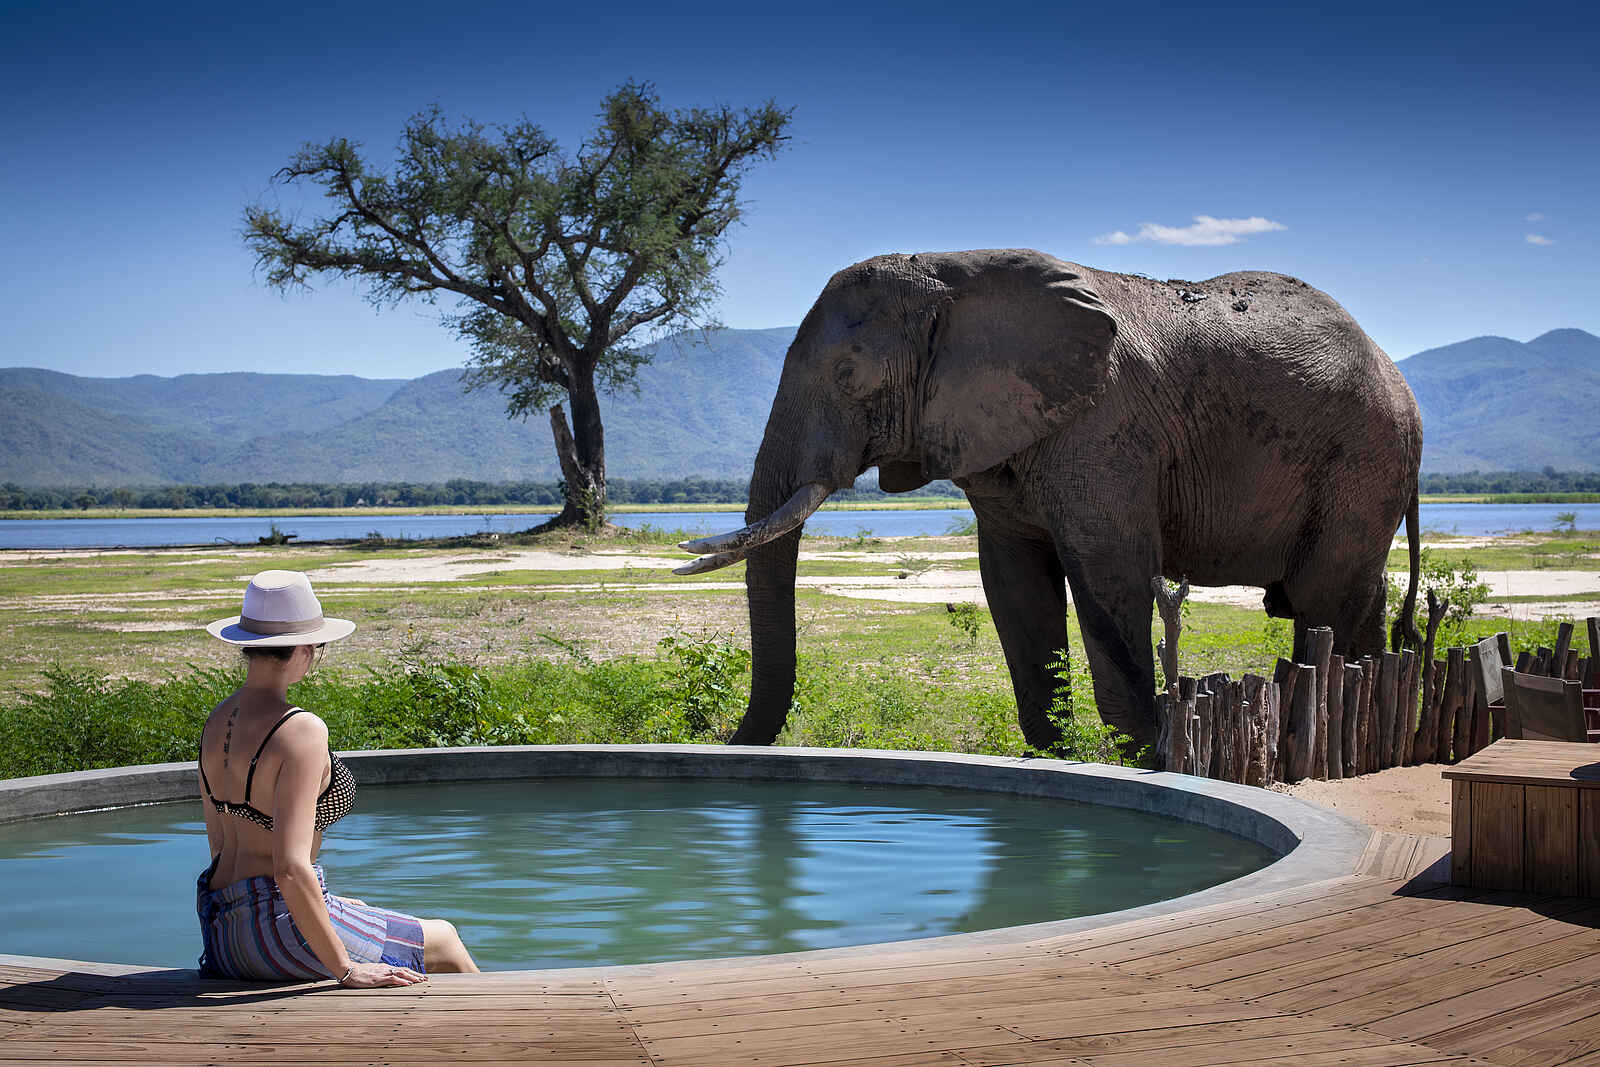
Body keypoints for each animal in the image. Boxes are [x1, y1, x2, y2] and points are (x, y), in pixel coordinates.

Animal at [678, 248, 1422, 752]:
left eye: (847, 374)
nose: (728, 743)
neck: (955, 274)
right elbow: (1014, 586)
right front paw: (1058, 756)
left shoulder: (1104, 429)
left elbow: (1109, 575)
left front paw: (1144, 761)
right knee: (1354, 602)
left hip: (1364, 458)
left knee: (1322, 599)